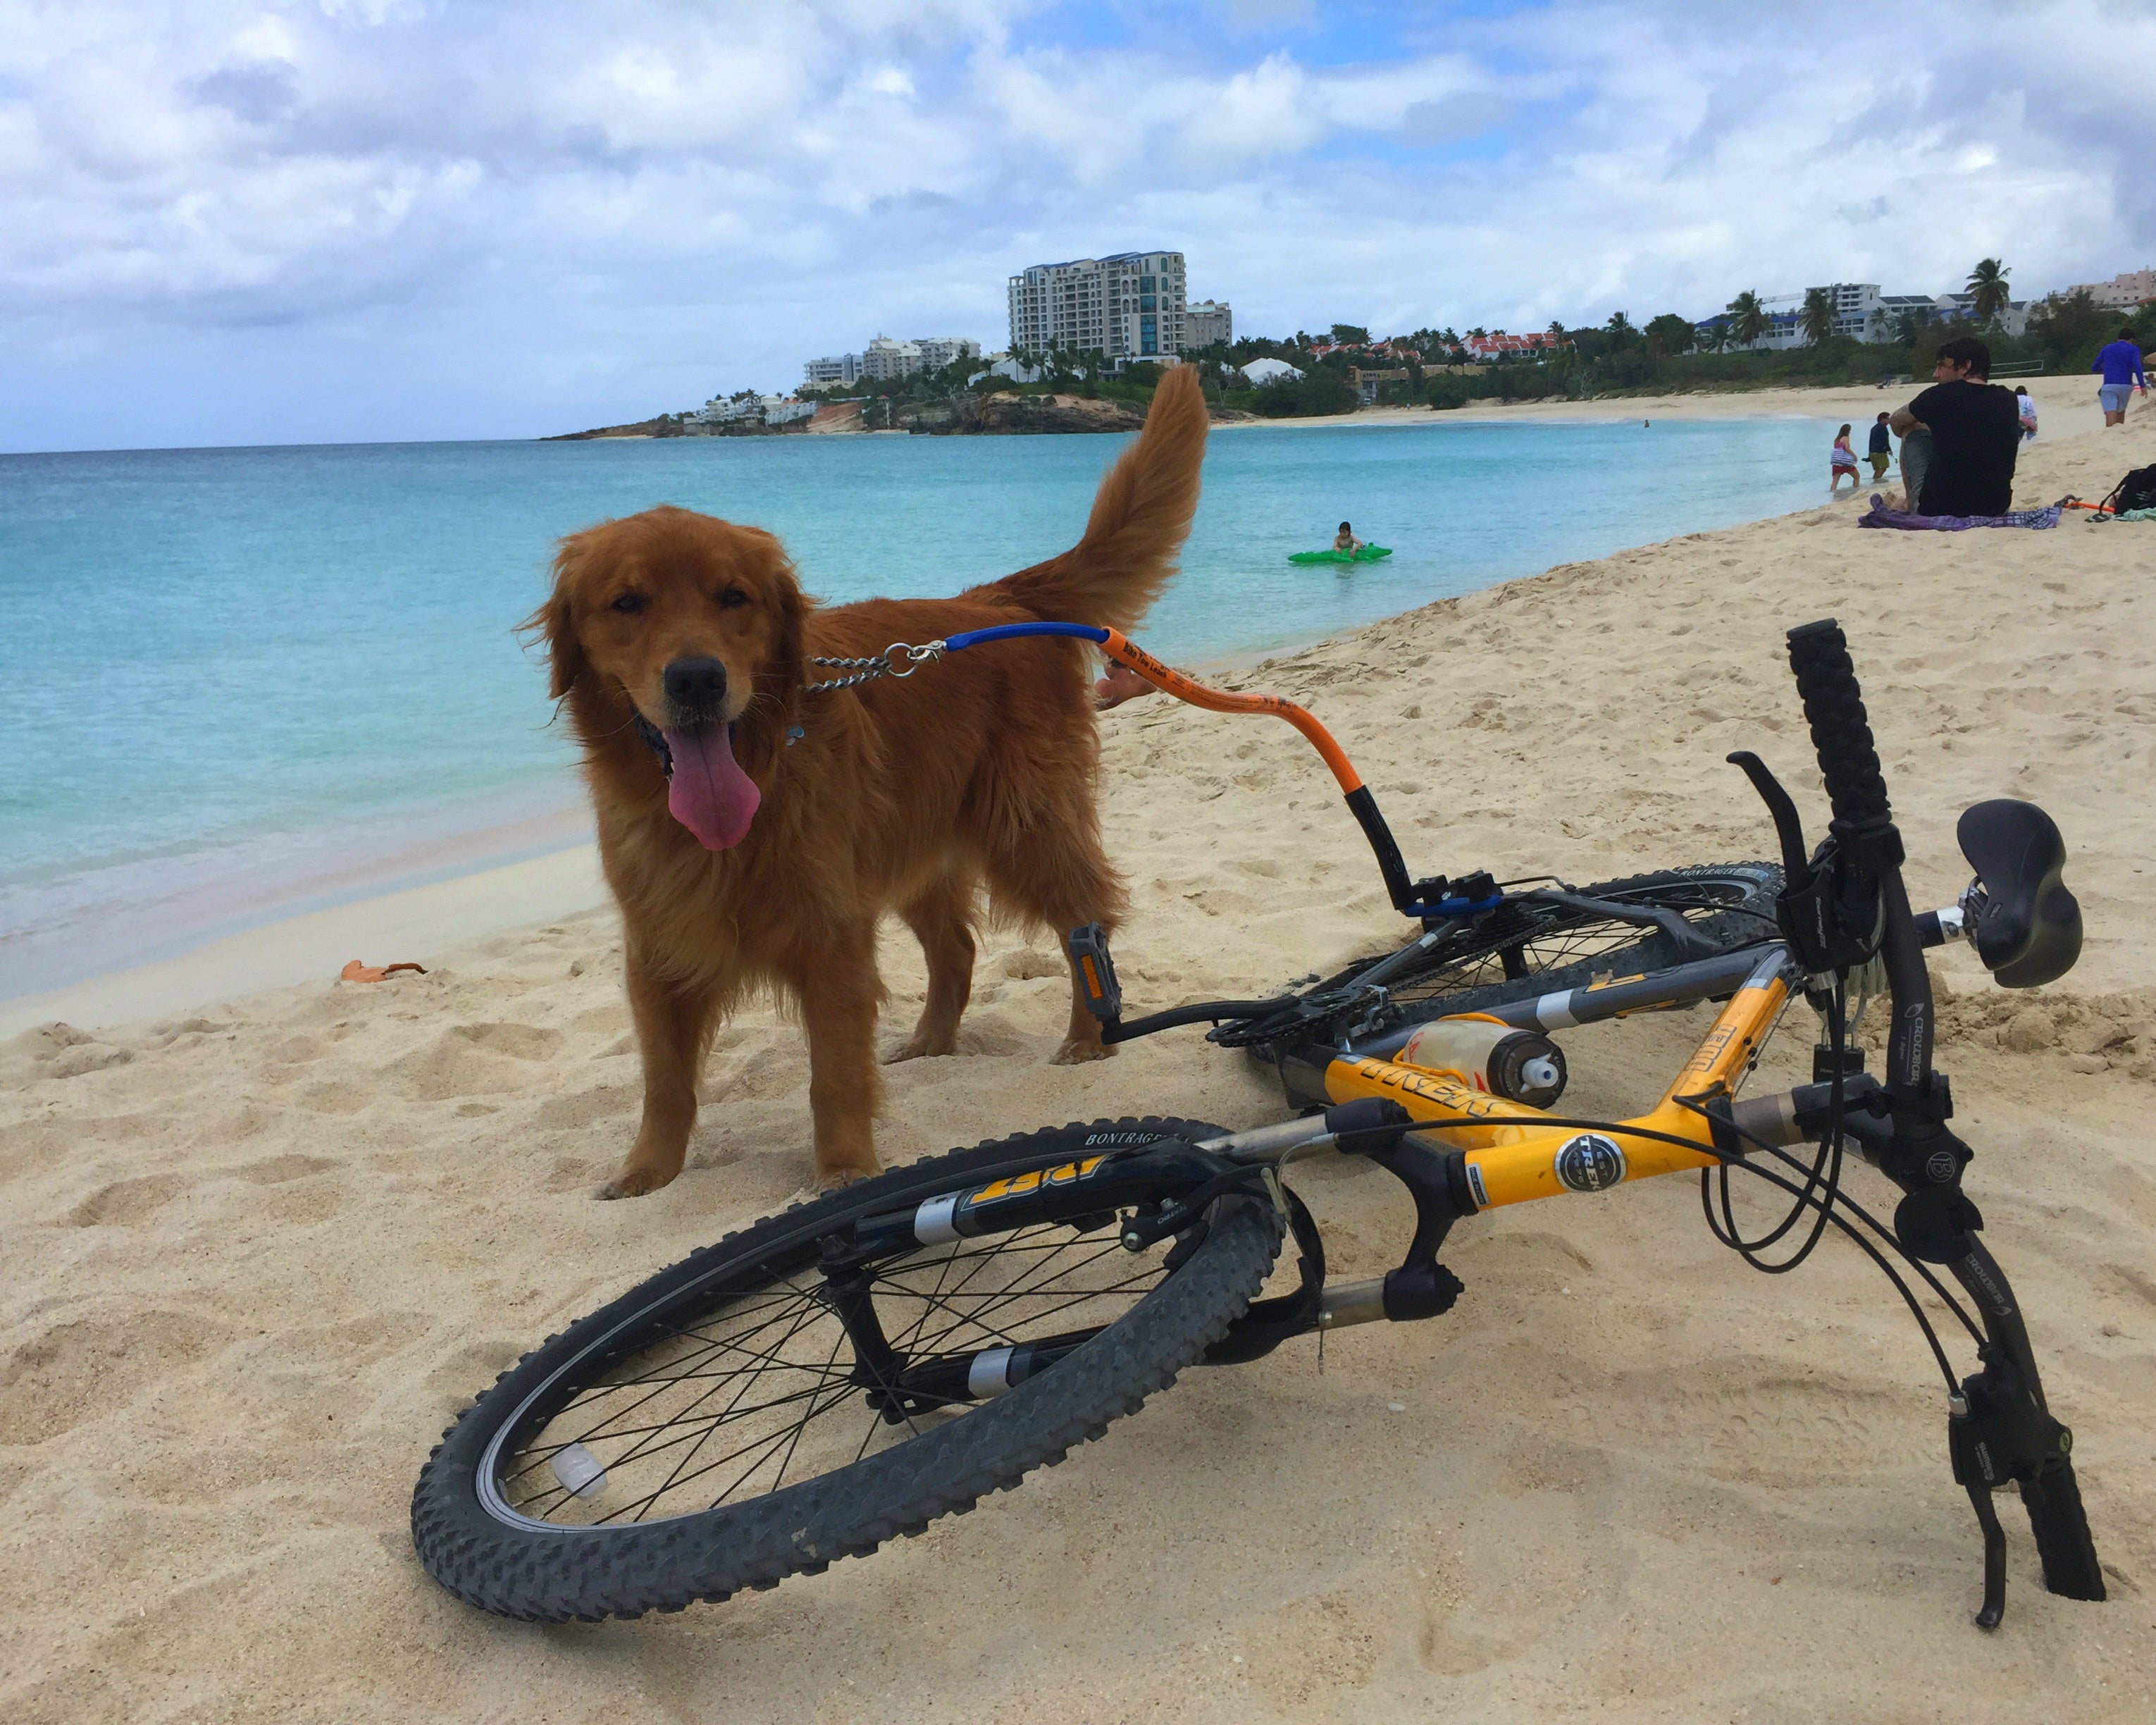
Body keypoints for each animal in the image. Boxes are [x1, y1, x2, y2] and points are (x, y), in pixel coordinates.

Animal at [534, 369, 1215, 1190]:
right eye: (626, 603)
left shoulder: (830, 933)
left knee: (1086, 919)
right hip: (912, 840)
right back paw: (929, 1043)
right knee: (957, 949)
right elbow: (665, 1077)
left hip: (1023, 825)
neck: (756, 775)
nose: (696, 680)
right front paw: (647, 1174)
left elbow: (833, 1073)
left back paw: (1089, 1038)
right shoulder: (657, 939)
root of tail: (998, 599)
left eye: (733, 597)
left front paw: (845, 1172)